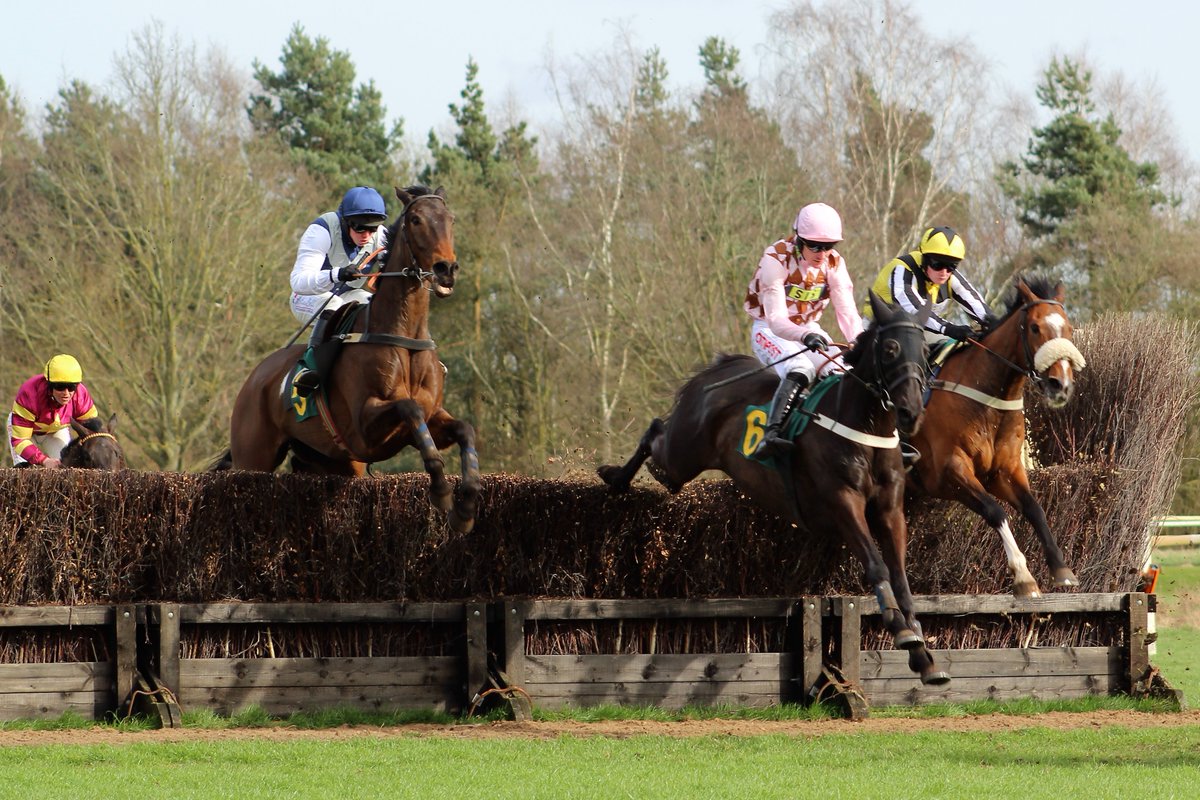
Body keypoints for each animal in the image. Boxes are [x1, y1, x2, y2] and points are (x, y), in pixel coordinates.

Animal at [597, 297, 945, 686]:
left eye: (926, 352)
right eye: (891, 348)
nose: (910, 412)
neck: (864, 428)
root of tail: (718, 371)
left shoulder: (890, 508)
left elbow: (901, 577)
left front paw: (923, 655)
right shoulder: (843, 501)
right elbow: (877, 566)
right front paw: (901, 630)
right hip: (680, 456)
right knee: (656, 432)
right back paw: (615, 477)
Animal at [907, 275, 1089, 594]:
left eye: (1067, 328)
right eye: (1034, 327)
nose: (1061, 385)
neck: (987, 400)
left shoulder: (1004, 470)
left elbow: (1035, 509)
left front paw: (1061, 569)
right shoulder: (950, 469)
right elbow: (995, 512)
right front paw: (1024, 576)